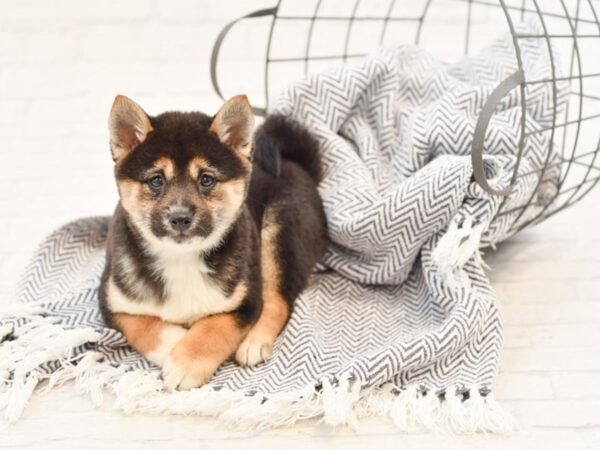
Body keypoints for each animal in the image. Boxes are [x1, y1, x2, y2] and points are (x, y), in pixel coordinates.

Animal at [98, 95, 326, 390]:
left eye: (206, 179)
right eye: (156, 180)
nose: (180, 218)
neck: (180, 259)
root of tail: (296, 165)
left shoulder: (246, 301)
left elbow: (214, 327)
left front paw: (185, 362)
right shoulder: (112, 302)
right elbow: (145, 327)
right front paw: (175, 344)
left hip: (281, 231)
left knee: (278, 301)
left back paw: (254, 342)